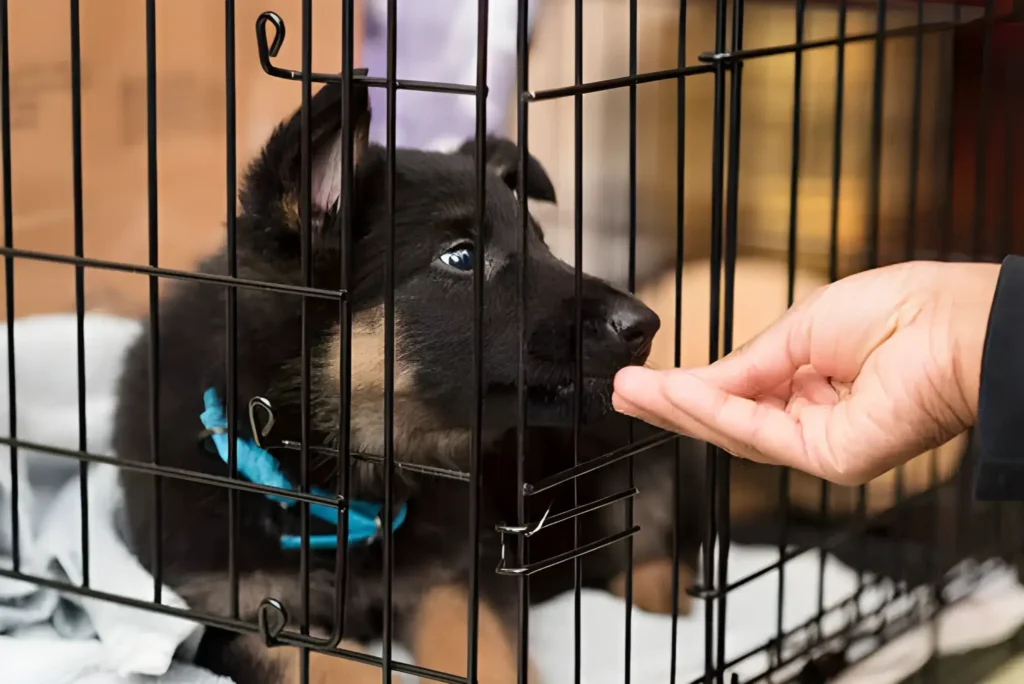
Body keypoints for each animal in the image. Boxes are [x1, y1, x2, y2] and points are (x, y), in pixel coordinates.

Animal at [114, 81, 704, 684]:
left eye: (543, 244)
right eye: (460, 257)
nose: (646, 325)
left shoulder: (456, 576)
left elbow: (487, 655)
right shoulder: (239, 612)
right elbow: (332, 667)